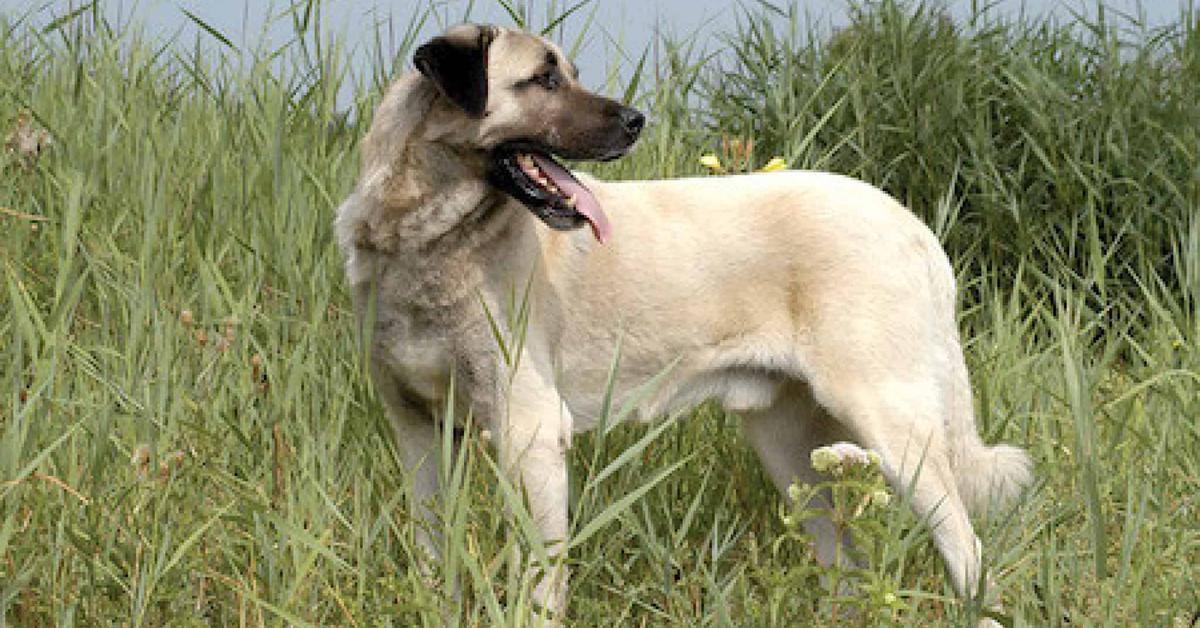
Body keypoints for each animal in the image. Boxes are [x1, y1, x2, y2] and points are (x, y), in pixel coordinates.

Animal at [336, 22, 1032, 624]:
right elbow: (434, 554)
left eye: (566, 74)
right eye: (544, 79)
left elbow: (539, 579)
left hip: (892, 428)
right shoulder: (420, 432)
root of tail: (910, 222)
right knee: (850, 567)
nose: (636, 121)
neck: (424, 238)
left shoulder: (528, 433)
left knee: (969, 555)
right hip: (793, 452)